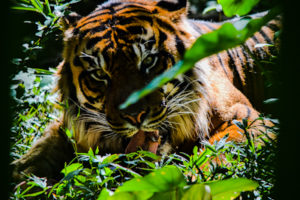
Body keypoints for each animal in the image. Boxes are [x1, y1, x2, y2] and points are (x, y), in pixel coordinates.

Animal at [11, 0, 278, 181]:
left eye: (149, 61)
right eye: (100, 74)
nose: (135, 116)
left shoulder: (245, 117)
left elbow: (217, 153)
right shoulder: (65, 129)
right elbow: (33, 157)